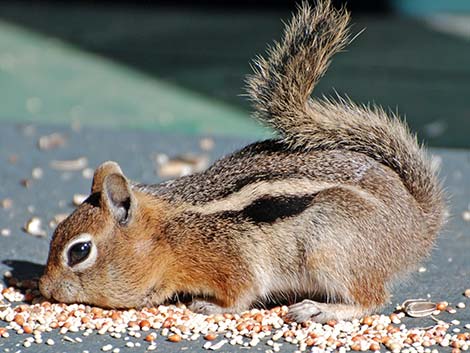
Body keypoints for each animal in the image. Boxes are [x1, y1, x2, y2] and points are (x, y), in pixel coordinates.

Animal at [39, 0, 444, 322]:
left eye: (79, 251)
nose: (44, 287)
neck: (168, 237)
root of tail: (418, 223)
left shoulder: (233, 259)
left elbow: (241, 293)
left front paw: (211, 307)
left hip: (331, 248)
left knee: (371, 299)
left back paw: (320, 309)